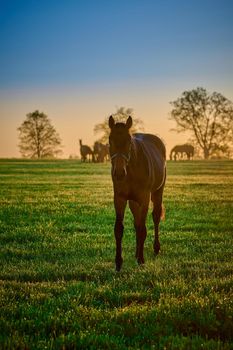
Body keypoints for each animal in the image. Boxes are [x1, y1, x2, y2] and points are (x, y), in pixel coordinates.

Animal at [108, 115, 167, 270]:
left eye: (129, 141)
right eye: (110, 140)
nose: (119, 173)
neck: (131, 170)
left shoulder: (144, 198)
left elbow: (142, 228)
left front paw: (141, 260)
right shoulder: (120, 198)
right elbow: (119, 229)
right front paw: (118, 262)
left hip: (157, 192)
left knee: (155, 217)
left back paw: (155, 248)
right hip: (133, 201)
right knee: (136, 222)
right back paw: (135, 253)